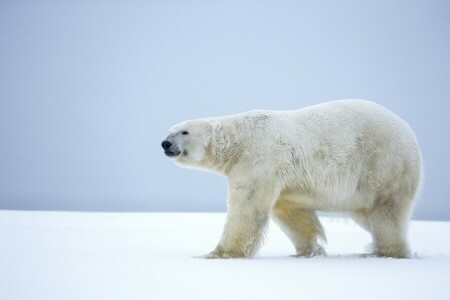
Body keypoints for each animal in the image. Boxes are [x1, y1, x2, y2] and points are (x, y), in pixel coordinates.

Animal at [161, 99, 422, 258]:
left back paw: (384, 251)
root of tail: (410, 135)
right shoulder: (283, 178)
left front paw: (216, 254)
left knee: (386, 213)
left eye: (184, 131)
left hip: (383, 164)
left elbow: (247, 208)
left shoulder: (258, 158)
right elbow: (291, 211)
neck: (240, 140)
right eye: (169, 130)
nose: (165, 143)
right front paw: (308, 251)